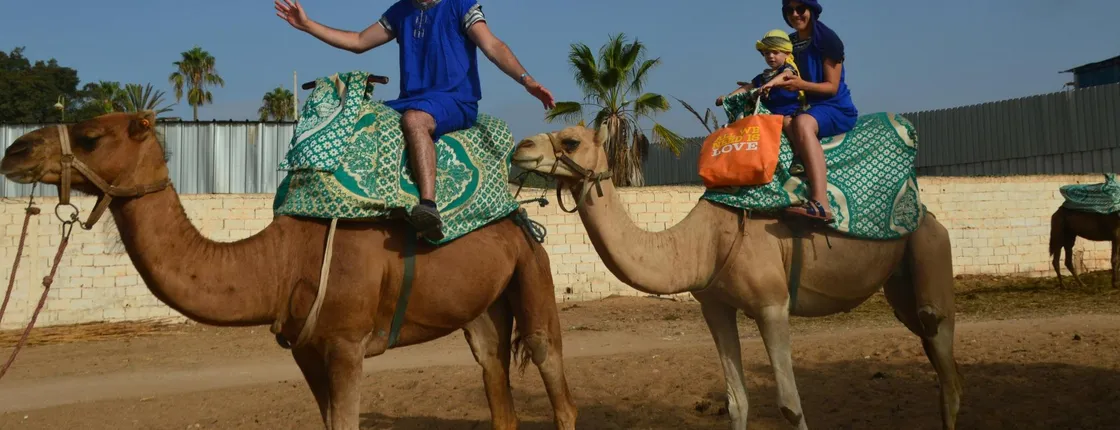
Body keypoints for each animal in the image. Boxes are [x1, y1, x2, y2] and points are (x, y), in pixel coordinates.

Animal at [0, 111, 578, 430]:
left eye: (92, 137)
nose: (15, 150)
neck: (278, 263)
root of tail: (518, 215)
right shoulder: (305, 348)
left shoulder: (345, 344)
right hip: (483, 309)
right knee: (494, 377)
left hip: (533, 270)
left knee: (554, 374)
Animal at [511, 125, 963, 430]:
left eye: (571, 140)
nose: (520, 148)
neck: (703, 241)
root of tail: (927, 212)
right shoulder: (715, 306)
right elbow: (736, 401)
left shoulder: (772, 305)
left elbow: (790, 405)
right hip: (900, 284)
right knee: (937, 359)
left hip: (931, 247)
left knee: (943, 349)